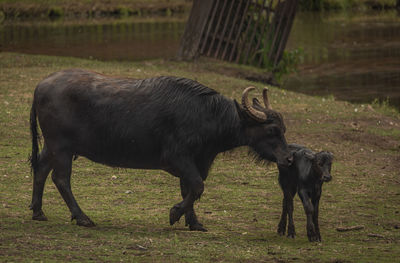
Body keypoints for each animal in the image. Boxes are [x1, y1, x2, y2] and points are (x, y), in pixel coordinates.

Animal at [28, 69, 290, 232]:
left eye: (284, 129)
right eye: (272, 130)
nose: (288, 159)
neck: (207, 115)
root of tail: (41, 86)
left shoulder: (195, 162)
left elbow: (190, 189)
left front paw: (194, 222)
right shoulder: (178, 158)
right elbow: (197, 186)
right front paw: (175, 214)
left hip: (52, 146)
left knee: (40, 169)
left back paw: (38, 212)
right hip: (62, 147)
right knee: (61, 179)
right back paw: (82, 217)